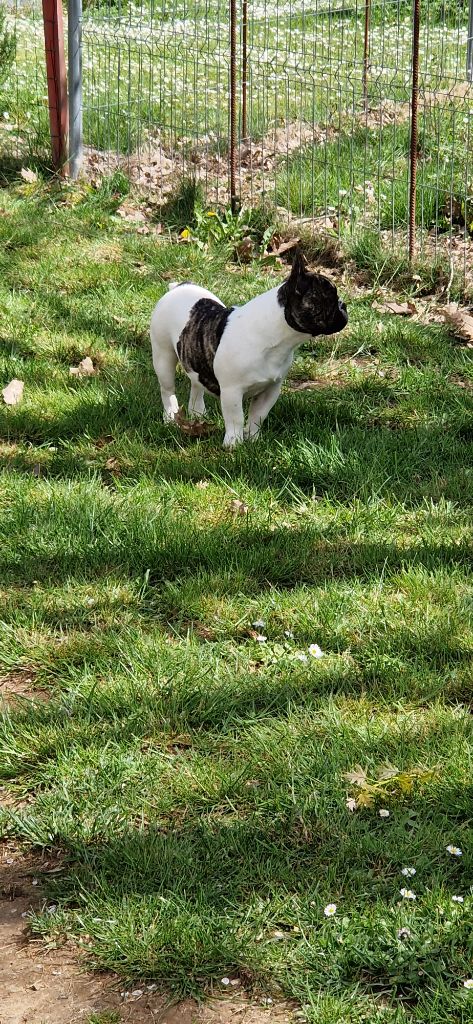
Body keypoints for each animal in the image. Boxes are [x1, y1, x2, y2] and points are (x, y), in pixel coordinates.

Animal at [151, 249, 348, 446]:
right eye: (330, 297)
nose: (343, 304)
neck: (277, 338)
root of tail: (178, 287)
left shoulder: (271, 389)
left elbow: (258, 415)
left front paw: (253, 439)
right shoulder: (232, 391)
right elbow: (235, 418)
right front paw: (234, 443)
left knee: (196, 383)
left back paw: (198, 413)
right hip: (163, 356)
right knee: (167, 389)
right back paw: (170, 417)